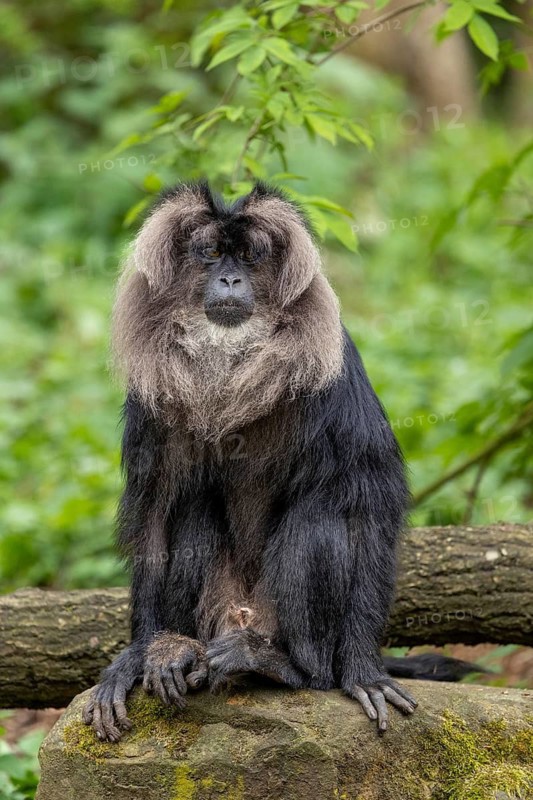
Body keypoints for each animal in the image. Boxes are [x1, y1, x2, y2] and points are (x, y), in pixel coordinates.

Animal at [83, 181, 481, 743]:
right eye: (211, 254)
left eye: (250, 257)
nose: (230, 279)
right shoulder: (151, 399)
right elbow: (156, 512)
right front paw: (136, 656)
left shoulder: (336, 371)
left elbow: (369, 501)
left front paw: (363, 670)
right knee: (190, 511)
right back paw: (176, 650)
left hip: (289, 627)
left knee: (319, 520)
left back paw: (281, 665)